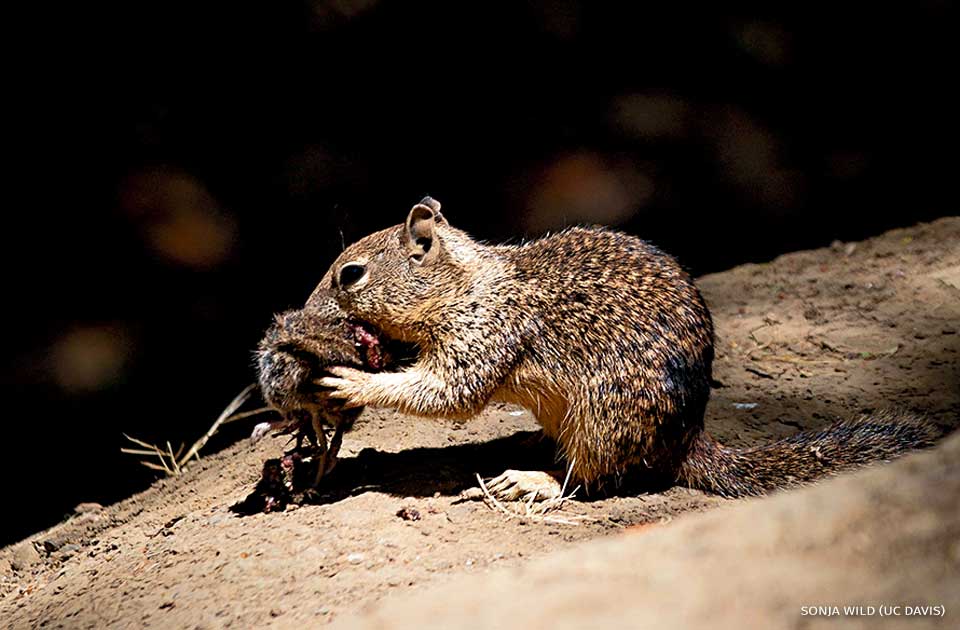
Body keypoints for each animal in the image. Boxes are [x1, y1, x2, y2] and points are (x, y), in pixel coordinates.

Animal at [289, 197, 939, 500]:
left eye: (350, 275)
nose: (305, 311)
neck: (466, 284)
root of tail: (687, 439)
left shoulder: (486, 334)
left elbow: (448, 392)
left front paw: (352, 382)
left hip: (605, 420)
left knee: (595, 478)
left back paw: (535, 479)